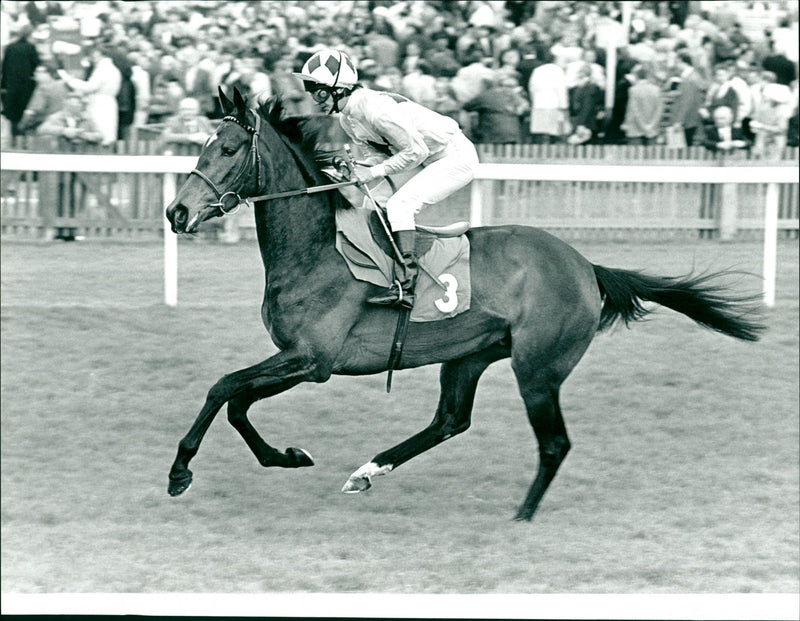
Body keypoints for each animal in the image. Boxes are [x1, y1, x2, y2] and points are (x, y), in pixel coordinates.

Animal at [162, 87, 764, 520]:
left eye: (228, 149)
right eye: (202, 146)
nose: (177, 212)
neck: (317, 249)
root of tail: (585, 266)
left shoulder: (313, 360)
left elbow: (223, 390)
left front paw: (181, 471)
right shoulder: (299, 358)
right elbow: (235, 401)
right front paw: (284, 456)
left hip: (538, 367)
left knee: (554, 443)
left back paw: (523, 514)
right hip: (469, 355)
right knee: (450, 420)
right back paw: (367, 471)